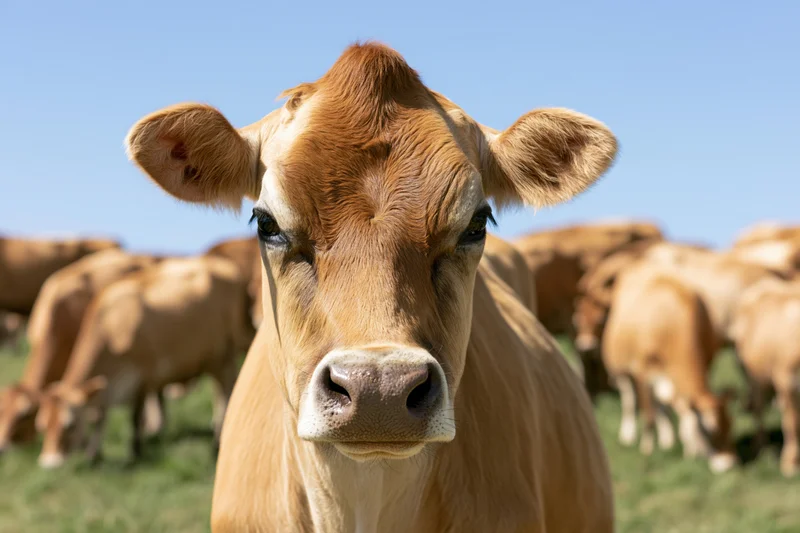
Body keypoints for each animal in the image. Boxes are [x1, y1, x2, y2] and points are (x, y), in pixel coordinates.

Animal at [35, 255, 256, 469]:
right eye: (42, 426)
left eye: (69, 425)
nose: (49, 464)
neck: (110, 328)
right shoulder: (106, 388)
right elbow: (100, 416)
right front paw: (94, 455)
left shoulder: (143, 377)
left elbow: (135, 418)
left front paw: (135, 452)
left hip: (223, 355)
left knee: (225, 396)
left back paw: (217, 443)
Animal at [602, 260, 738, 473]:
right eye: (709, 431)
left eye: (731, 425)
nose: (729, 464)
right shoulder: (641, 371)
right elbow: (649, 414)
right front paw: (647, 449)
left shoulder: (705, 363)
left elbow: (684, 410)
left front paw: (689, 451)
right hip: (619, 367)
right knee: (629, 398)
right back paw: (628, 435)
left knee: (661, 404)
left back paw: (667, 440)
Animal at [730, 277, 800, 477]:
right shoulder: (787, 381)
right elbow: (792, 422)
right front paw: (789, 463)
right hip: (750, 373)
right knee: (758, 408)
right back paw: (759, 447)